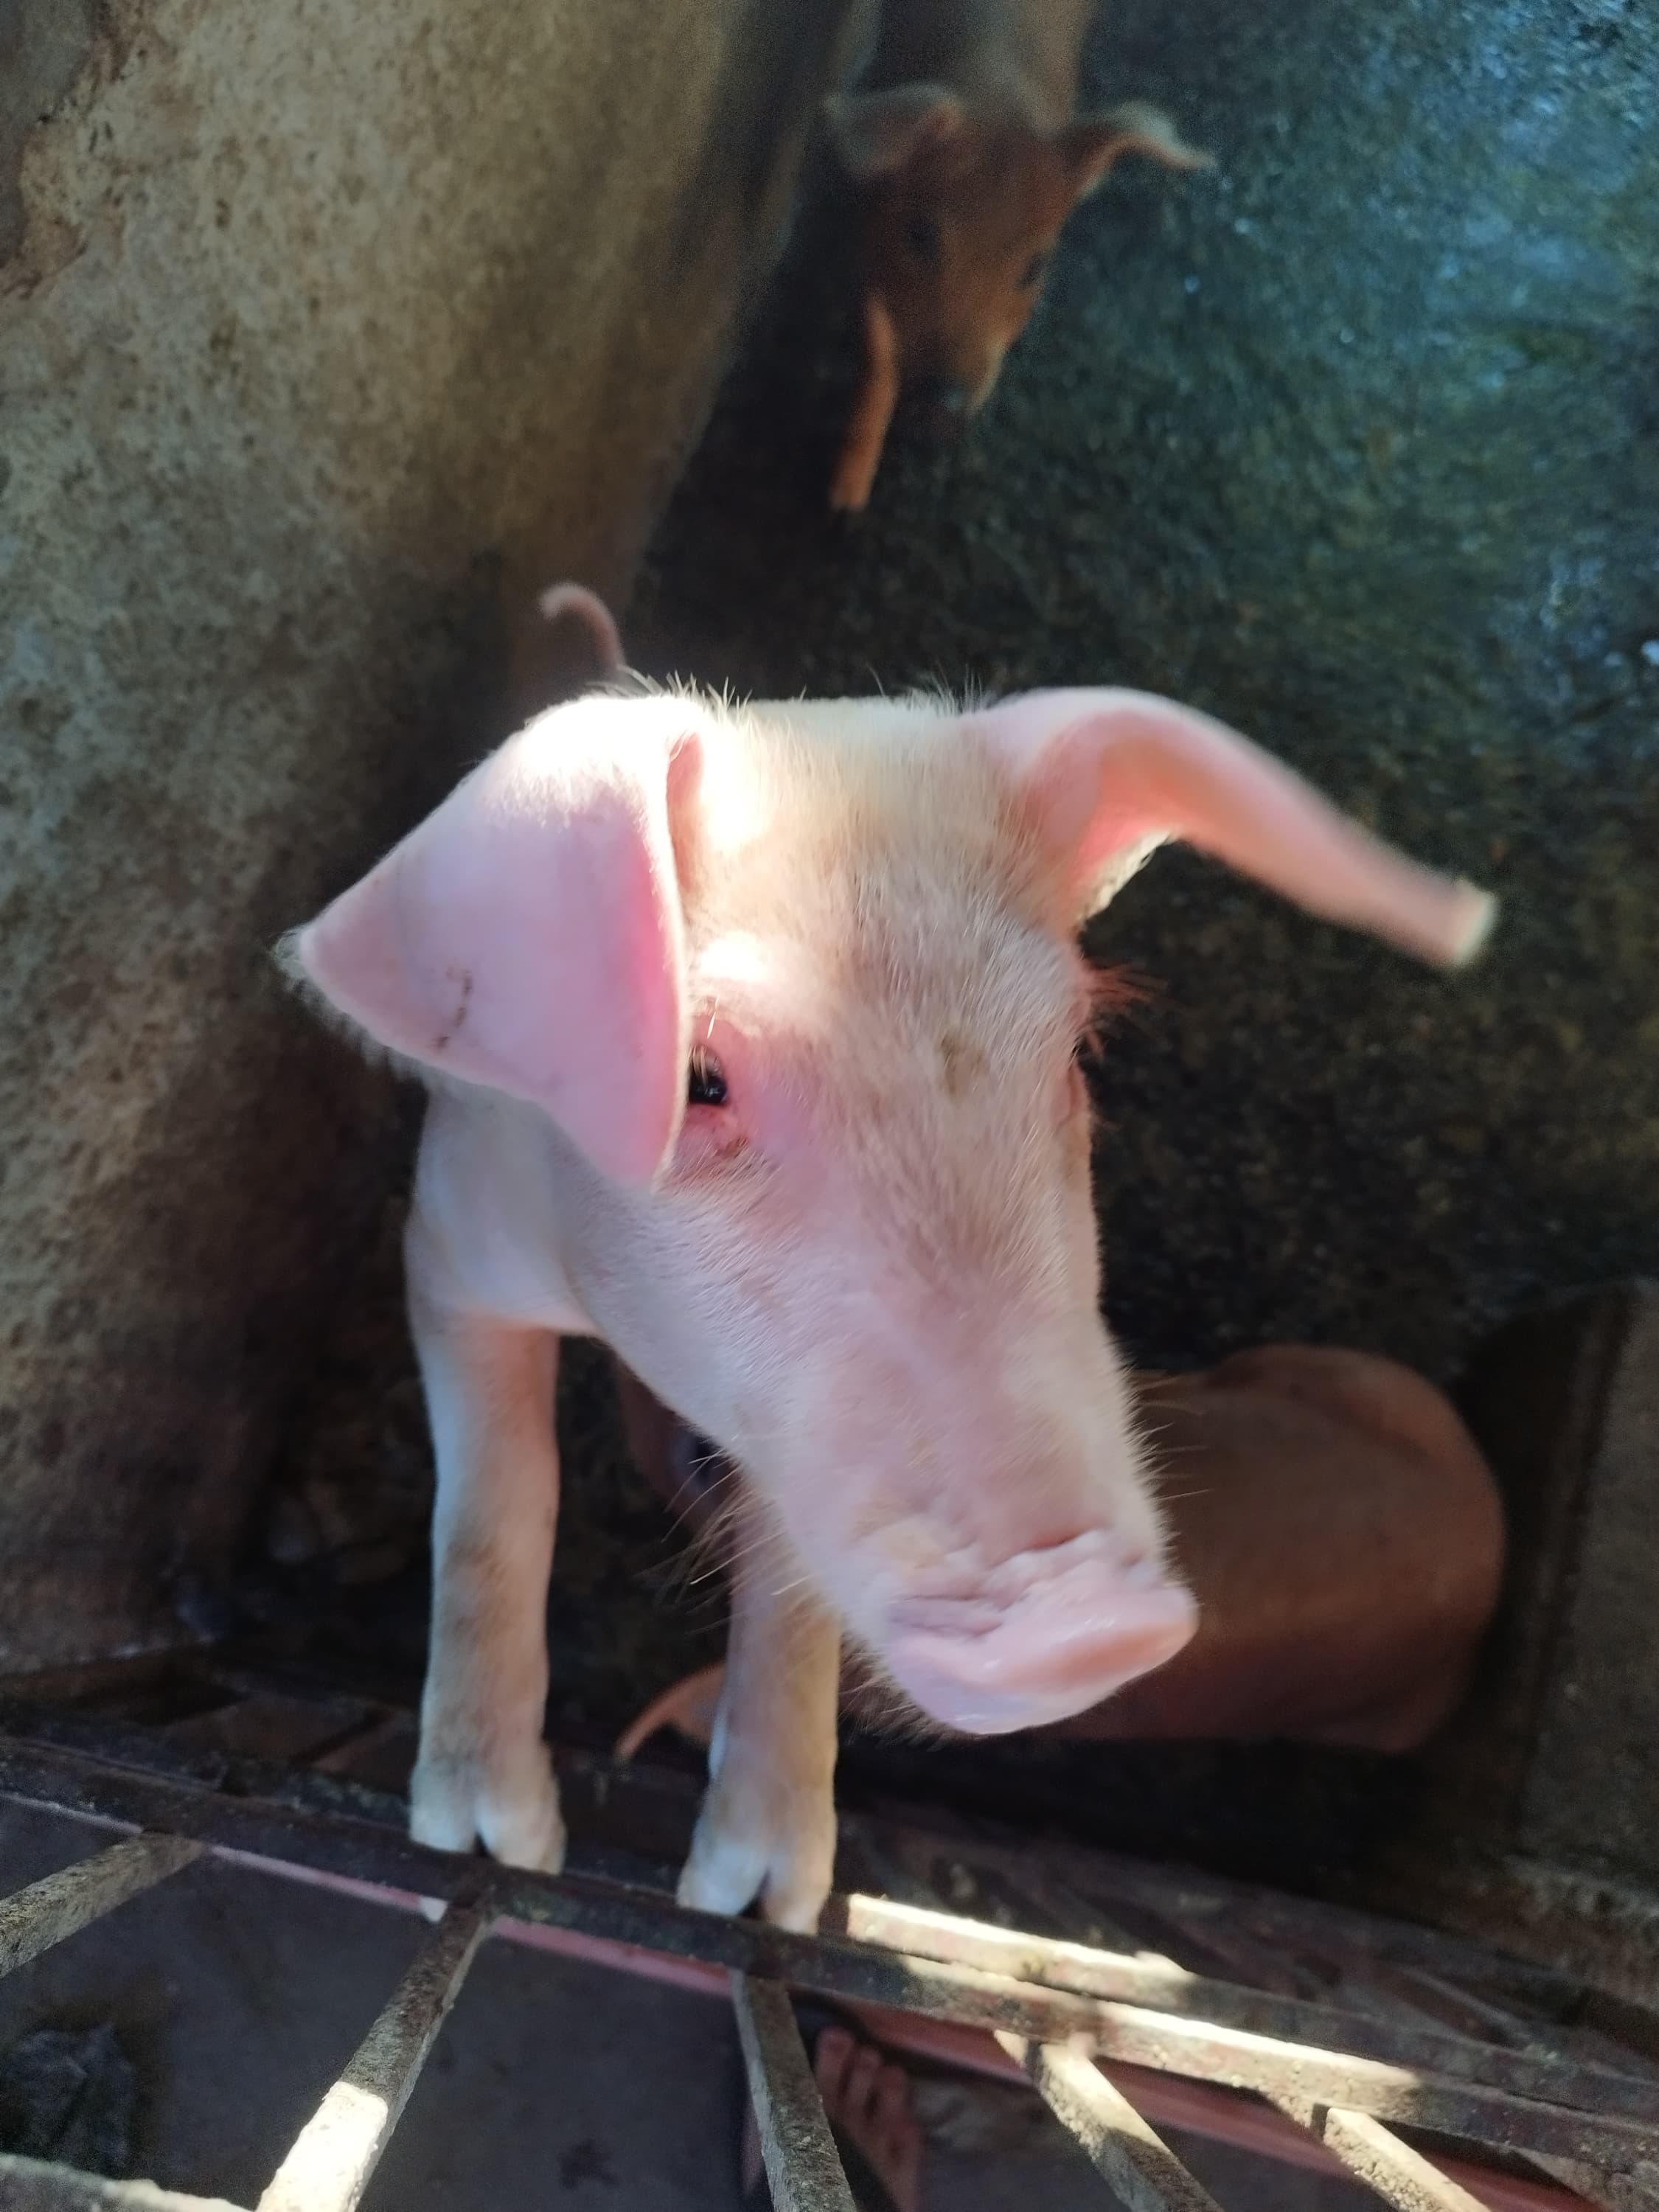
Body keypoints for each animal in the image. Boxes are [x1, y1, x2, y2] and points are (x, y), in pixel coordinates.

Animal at [286, 600, 1494, 1932]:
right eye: (699, 1077)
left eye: (1075, 1047)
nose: (1089, 1621)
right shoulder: (452, 1234)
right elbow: (496, 1503)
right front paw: (490, 1849)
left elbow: (788, 1581)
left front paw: (753, 1904)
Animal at [824, 0, 1210, 510]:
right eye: (921, 234)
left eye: (1036, 266)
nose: (944, 401)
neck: (1000, 87)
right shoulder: (866, 226)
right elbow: (878, 347)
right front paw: (843, 504)